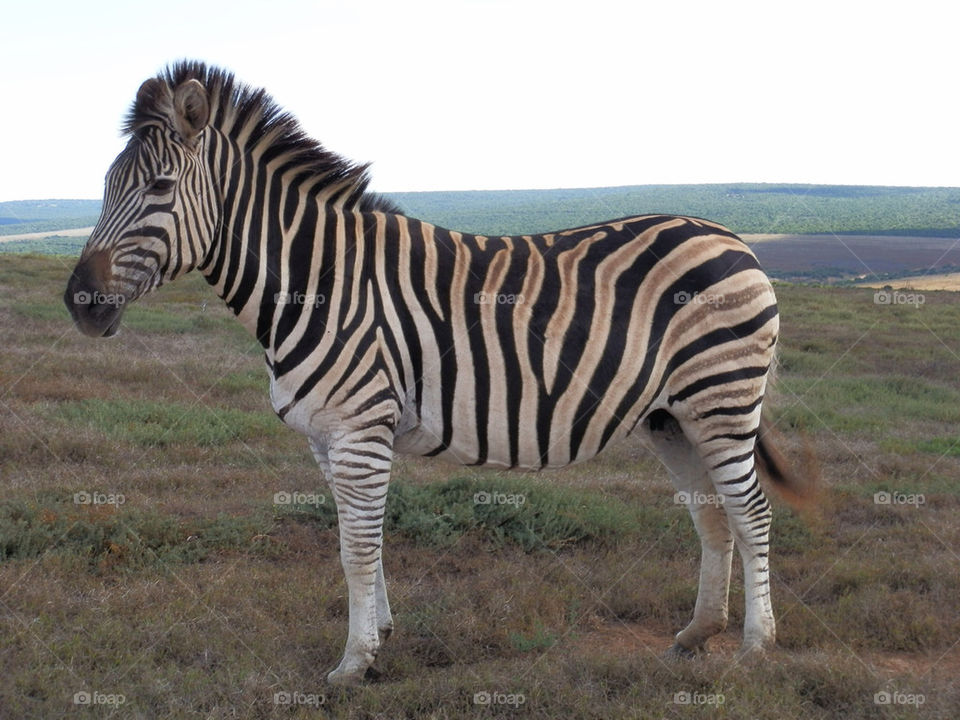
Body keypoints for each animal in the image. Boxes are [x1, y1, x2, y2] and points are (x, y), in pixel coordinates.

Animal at [64, 62, 807, 685]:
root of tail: (731, 238)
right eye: (102, 188)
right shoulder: (326, 439)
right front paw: (381, 637)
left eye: (159, 187)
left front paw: (352, 663)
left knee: (751, 510)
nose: (80, 303)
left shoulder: (360, 428)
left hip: (721, 398)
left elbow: (355, 548)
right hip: (671, 415)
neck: (319, 283)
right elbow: (359, 541)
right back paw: (697, 633)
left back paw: (755, 645)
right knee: (711, 513)